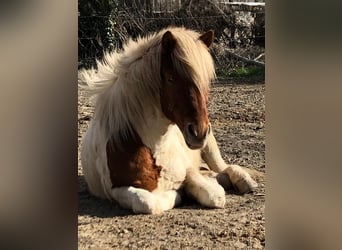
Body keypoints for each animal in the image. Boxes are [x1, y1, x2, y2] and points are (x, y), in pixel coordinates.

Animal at [79, 27, 256, 215]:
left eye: (206, 81)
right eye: (171, 78)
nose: (199, 133)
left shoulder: (188, 169)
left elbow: (213, 194)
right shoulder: (115, 190)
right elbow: (147, 202)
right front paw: (178, 194)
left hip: (210, 148)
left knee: (224, 167)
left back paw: (245, 181)